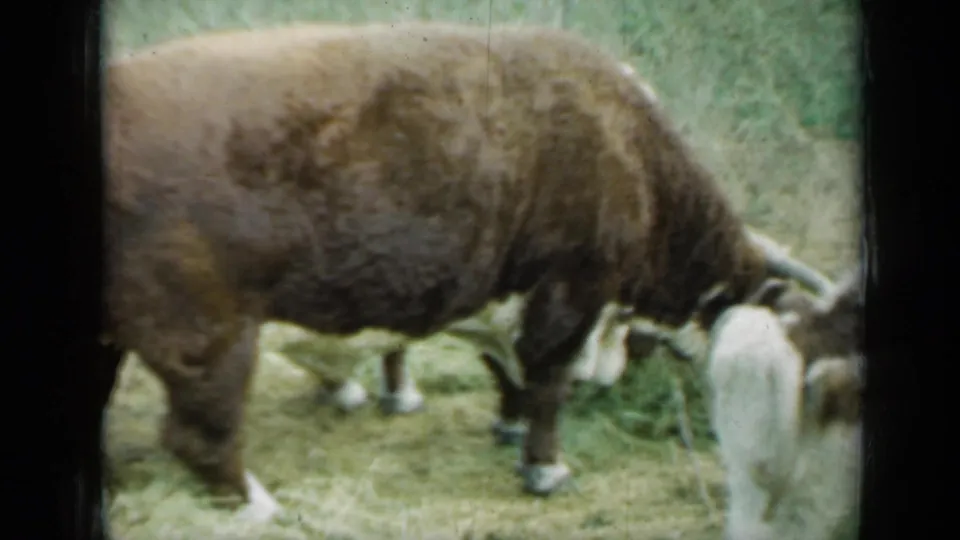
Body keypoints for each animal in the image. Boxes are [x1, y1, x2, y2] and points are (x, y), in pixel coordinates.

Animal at [103, 20, 837, 522]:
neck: (629, 147)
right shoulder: (572, 286)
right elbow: (547, 381)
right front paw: (545, 467)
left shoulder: (501, 289)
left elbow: (507, 370)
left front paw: (508, 425)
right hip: (210, 331)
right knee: (199, 434)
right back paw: (259, 504)